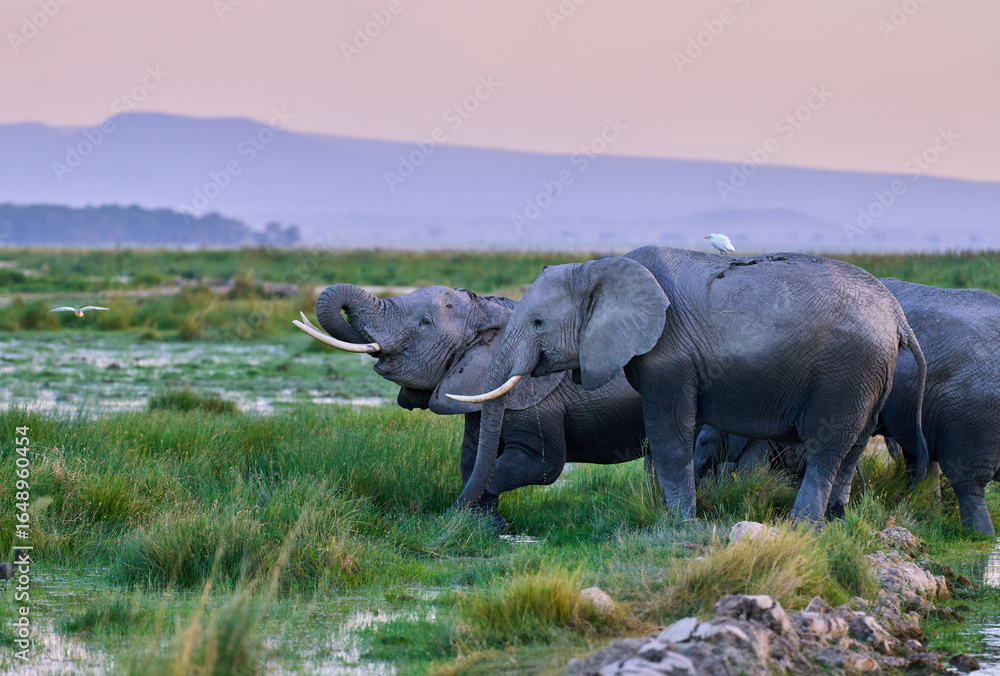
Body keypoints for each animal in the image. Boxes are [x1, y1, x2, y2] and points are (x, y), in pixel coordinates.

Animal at [294, 283, 648, 528]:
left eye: (424, 323)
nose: (431, 522)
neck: (493, 310)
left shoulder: (537, 395)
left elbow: (538, 463)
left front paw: (468, 522)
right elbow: (472, 456)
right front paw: (483, 528)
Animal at [449, 246, 929, 523]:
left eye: (537, 323)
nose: (451, 514)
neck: (598, 268)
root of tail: (896, 315)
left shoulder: (669, 353)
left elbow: (668, 433)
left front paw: (678, 524)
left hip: (845, 373)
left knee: (827, 447)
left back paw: (802, 526)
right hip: (872, 375)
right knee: (852, 447)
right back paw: (837, 520)